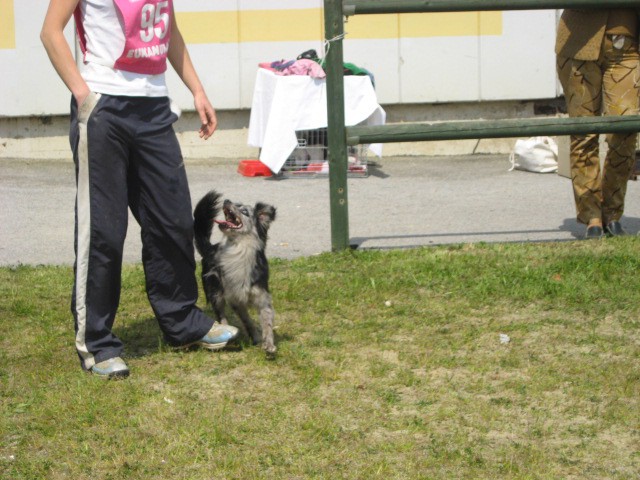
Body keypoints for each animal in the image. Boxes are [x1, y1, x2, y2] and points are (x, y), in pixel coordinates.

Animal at [192, 190, 278, 356]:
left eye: (244, 211)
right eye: (235, 204)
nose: (226, 201)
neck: (238, 249)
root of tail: (210, 248)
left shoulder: (262, 298)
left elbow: (267, 323)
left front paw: (268, 343)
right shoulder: (235, 299)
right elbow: (247, 321)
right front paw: (255, 337)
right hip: (215, 291)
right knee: (220, 314)